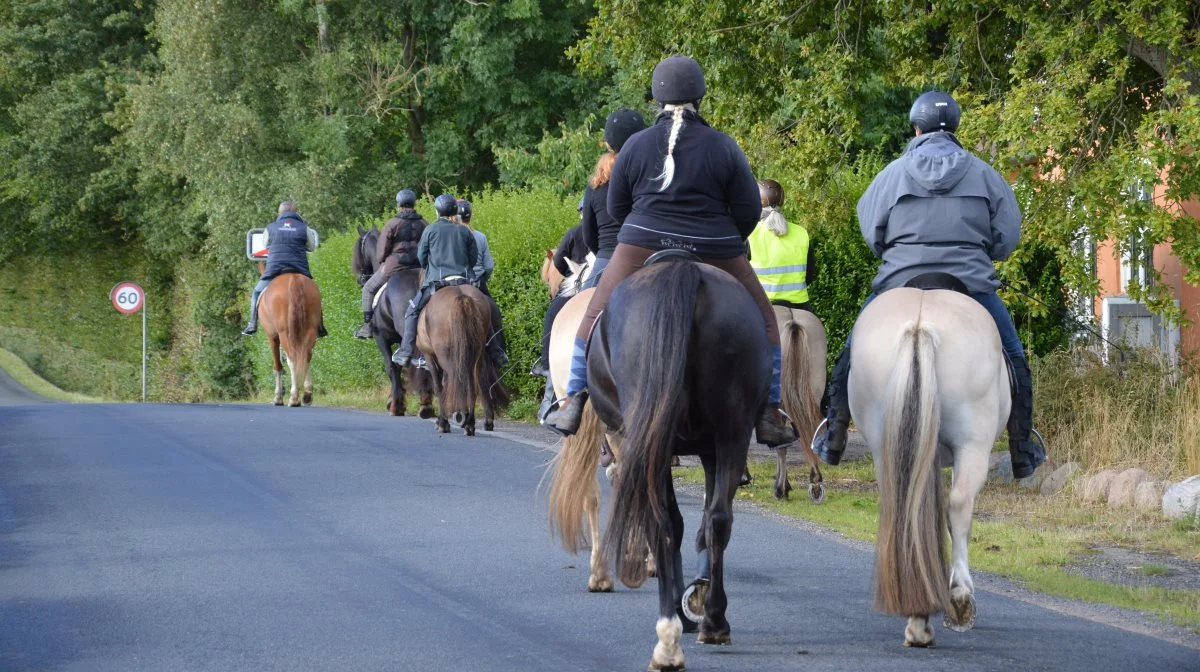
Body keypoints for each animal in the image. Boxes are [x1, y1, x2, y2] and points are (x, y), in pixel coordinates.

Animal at [258, 270, 324, 408]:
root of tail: (294, 278)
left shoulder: (272, 336)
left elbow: (277, 366)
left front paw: (278, 397)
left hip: (284, 334)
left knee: (292, 359)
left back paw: (294, 398)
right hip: (310, 330)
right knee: (306, 357)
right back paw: (307, 396)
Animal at [350, 224, 432, 415]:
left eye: (359, 249)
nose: (360, 278)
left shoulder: (381, 338)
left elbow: (392, 367)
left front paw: (395, 404)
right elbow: (399, 367)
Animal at [415, 282, 508, 436]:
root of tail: (462, 297)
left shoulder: (430, 356)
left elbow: (439, 387)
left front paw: (442, 422)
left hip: (448, 358)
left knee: (453, 382)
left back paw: (456, 420)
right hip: (477, 354)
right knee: (476, 381)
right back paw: (471, 423)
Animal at [854, 285, 1012, 648]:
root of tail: (919, 325)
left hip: (886, 447)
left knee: (902, 509)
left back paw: (918, 619)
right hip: (973, 447)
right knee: (959, 505)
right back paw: (958, 598)